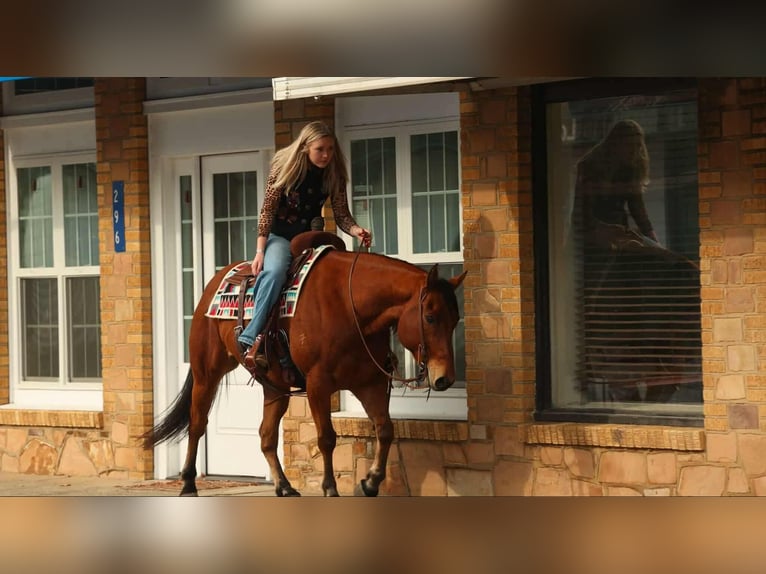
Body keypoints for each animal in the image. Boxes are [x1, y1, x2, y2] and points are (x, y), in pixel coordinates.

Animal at [144, 231, 467, 496]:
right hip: (206, 372)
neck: (350, 306)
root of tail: (216, 281)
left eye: (455, 320)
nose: (445, 379)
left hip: (274, 386)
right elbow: (326, 438)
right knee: (198, 423)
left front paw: (371, 482)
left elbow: (385, 429)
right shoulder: (318, 384)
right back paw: (188, 483)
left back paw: (284, 486)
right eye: (430, 317)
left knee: (266, 435)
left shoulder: (370, 383)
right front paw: (330, 488)